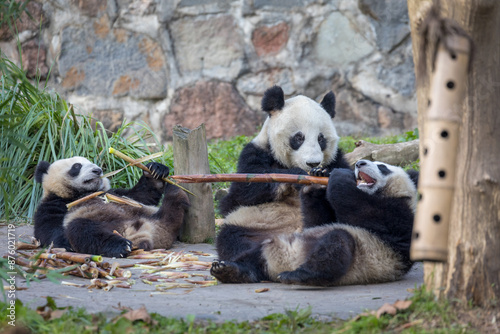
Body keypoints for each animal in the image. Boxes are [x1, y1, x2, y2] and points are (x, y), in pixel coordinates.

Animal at [33, 157, 189, 258]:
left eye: (92, 162)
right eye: (76, 166)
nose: (97, 170)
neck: (84, 193)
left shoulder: (114, 193)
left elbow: (142, 195)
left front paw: (155, 170)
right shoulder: (54, 203)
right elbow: (48, 231)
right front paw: (65, 244)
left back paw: (175, 193)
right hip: (114, 227)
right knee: (81, 229)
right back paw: (121, 245)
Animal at [211, 160, 418, 286]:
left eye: (382, 167)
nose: (360, 163)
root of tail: (282, 264)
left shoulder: (401, 216)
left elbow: (369, 212)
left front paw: (339, 176)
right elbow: (316, 222)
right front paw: (317, 178)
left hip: (362, 256)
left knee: (336, 246)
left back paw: (300, 275)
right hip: (271, 243)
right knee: (254, 256)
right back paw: (230, 270)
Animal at [217, 85, 350, 282]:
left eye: (321, 138)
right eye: (299, 137)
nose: (313, 163)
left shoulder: (337, 160)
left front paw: (321, 174)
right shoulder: (256, 153)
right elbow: (239, 195)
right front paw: (296, 175)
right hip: (253, 224)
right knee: (235, 240)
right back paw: (235, 271)